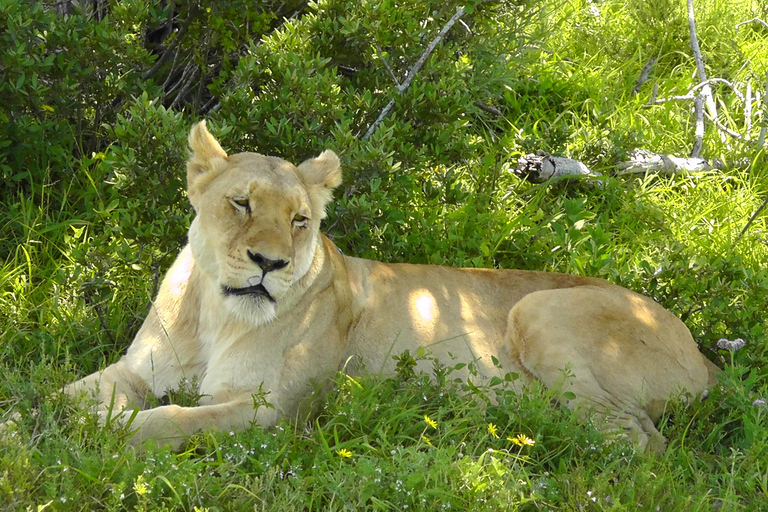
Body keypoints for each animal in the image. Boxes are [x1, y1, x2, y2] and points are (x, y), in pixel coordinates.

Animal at [59, 121, 716, 453]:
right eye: (241, 203)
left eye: (300, 220)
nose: (270, 262)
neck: (215, 316)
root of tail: (705, 355)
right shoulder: (135, 369)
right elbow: (71, 391)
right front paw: (49, 416)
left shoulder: (275, 412)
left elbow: (170, 419)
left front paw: (108, 433)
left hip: (538, 311)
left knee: (641, 444)